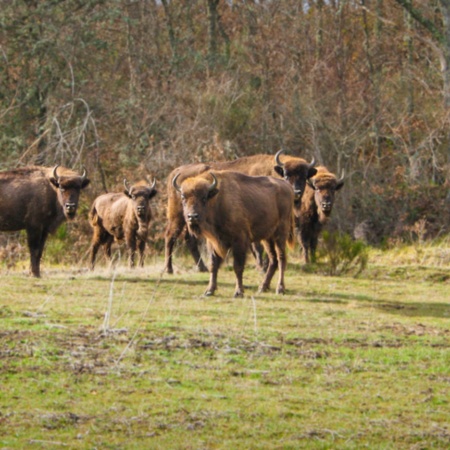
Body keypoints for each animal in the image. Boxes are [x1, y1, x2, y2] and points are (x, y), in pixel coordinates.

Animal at [163, 149, 314, 272]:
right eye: (286, 174)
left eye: (304, 176)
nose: (296, 192)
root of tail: (175, 172)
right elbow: (257, 246)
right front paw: (261, 267)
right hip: (178, 215)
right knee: (171, 236)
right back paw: (169, 269)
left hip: (190, 218)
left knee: (189, 239)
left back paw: (202, 268)